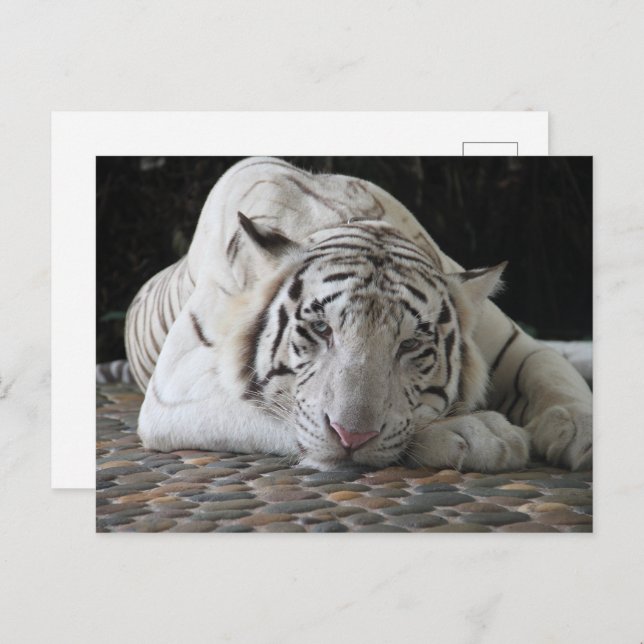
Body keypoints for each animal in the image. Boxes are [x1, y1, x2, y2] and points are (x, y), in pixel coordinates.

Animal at [125, 157, 592, 472]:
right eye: (320, 328)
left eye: (410, 344)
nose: (352, 436)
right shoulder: (174, 386)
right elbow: (280, 410)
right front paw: (476, 432)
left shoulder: (515, 342)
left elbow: (551, 370)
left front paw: (581, 429)